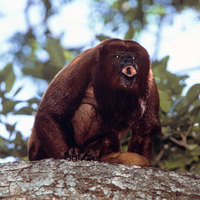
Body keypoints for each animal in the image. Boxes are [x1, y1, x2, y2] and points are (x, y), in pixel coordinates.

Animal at [27, 38, 161, 166]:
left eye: (134, 57)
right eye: (118, 56)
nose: (128, 60)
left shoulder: (149, 79)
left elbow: (143, 132)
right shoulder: (84, 62)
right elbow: (50, 112)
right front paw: (69, 153)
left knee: (110, 137)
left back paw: (91, 153)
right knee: (89, 108)